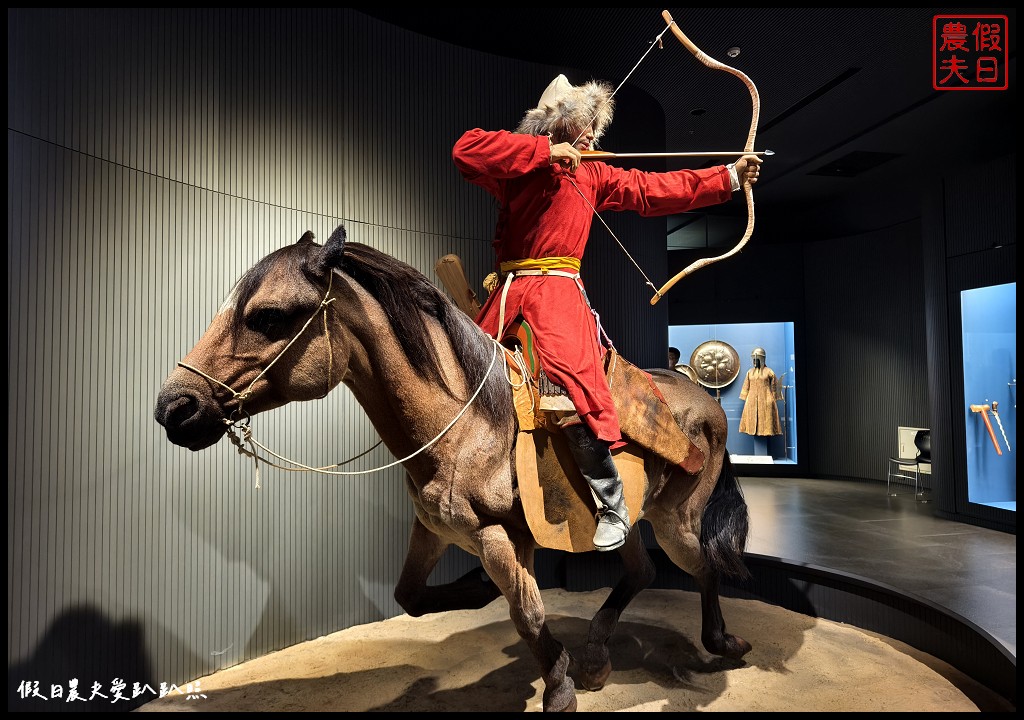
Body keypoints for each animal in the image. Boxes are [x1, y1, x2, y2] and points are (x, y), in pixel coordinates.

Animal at [151, 226, 749, 716]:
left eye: (268, 316)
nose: (173, 408)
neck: (465, 428)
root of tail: (704, 398)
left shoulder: (497, 537)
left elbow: (528, 613)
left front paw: (556, 686)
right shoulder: (435, 531)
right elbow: (409, 598)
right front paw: (476, 593)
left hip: (675, 523)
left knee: (701, 567)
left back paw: (722, 643)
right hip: (625, 525)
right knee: (642, 571)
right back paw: (598, 654)